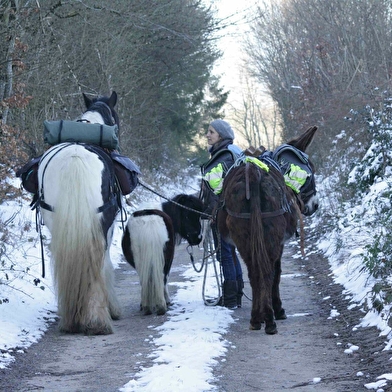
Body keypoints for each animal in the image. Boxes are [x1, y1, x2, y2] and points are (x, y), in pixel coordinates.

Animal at [38, 91, 121, 334]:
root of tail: (75, 158)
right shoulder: (109, 225)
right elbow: (106, 262)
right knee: (97, 259)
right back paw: (96, 320)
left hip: (56, 220)